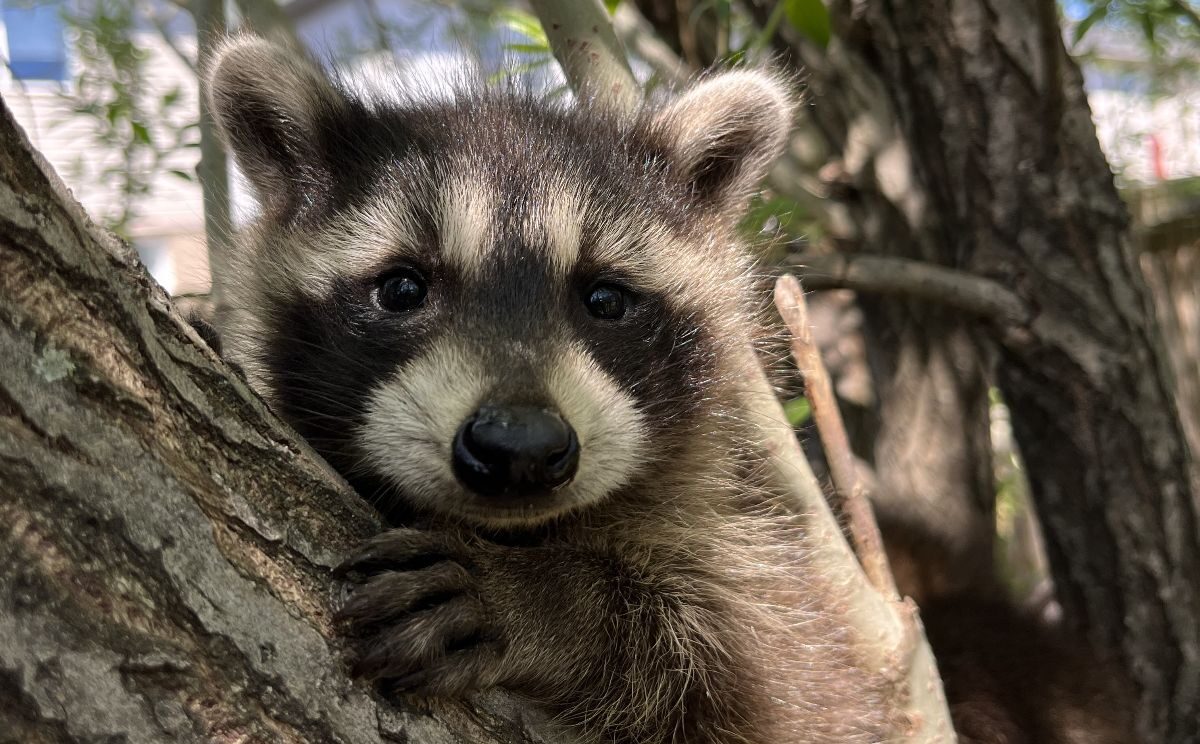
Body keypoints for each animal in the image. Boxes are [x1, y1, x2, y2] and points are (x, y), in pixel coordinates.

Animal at [205, 37, 896, 743]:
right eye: (401, 289)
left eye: (605, 300)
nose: (521, 447)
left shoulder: (756, 569)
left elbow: (763, 682)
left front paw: (548, 603)